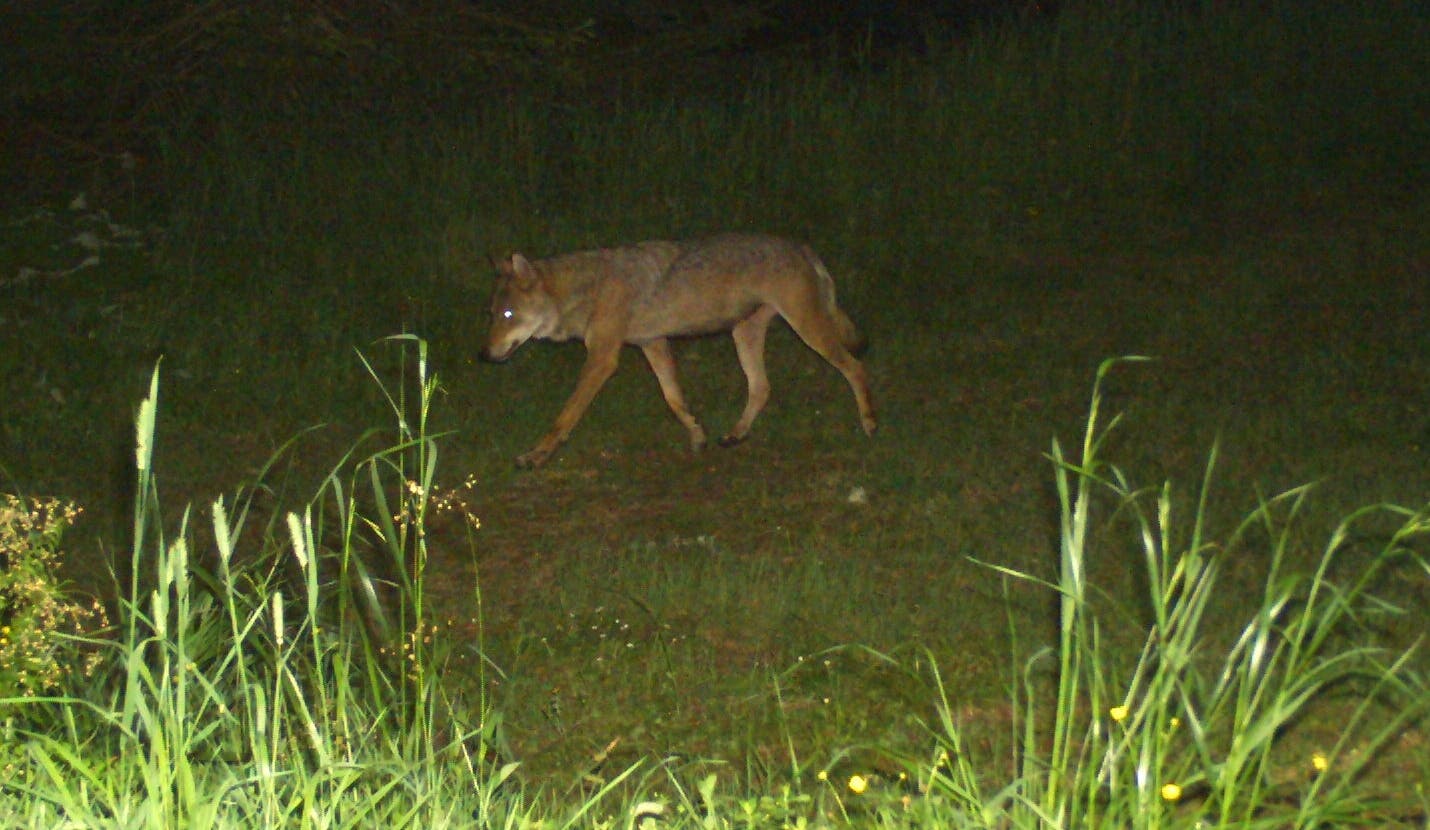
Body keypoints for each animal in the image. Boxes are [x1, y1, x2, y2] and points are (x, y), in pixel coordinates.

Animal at [482, 233, 877, 469]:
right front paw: (697, 435)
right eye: (492, 314)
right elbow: (675, 400)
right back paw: (736, 434)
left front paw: (537, 455)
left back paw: (869, 423)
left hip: (808, 330)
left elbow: (564, 416)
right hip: (744, 335)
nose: (484, 355)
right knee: (762, 388)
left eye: (508, 315)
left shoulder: (603, 359)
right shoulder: (653, 344)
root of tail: (802, 248)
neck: (587, 289)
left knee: (856, 367)